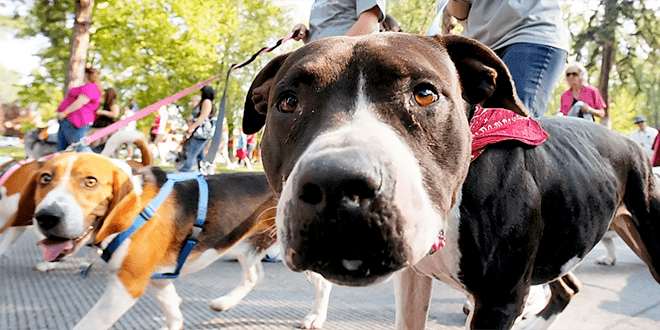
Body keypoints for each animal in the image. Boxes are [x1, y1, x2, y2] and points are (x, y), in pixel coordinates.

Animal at [241, 32, 660, 328]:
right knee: (567, 288)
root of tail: (630, 143)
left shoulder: (499, 300)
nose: (336, 185)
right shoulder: (412, 282)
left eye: (425, 94)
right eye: (288, 102)